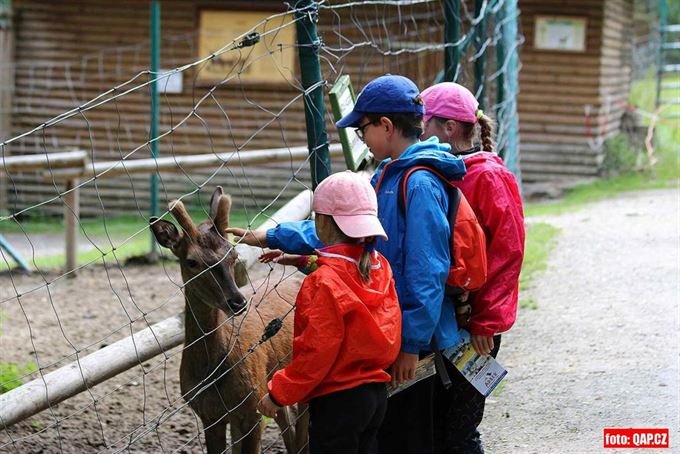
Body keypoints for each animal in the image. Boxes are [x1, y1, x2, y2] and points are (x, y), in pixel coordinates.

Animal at [151, 185, 308, 454]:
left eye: (233, 255)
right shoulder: (209, 415)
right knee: (289, 426)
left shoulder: (253, 407)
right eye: (191, 261)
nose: (237, 302)